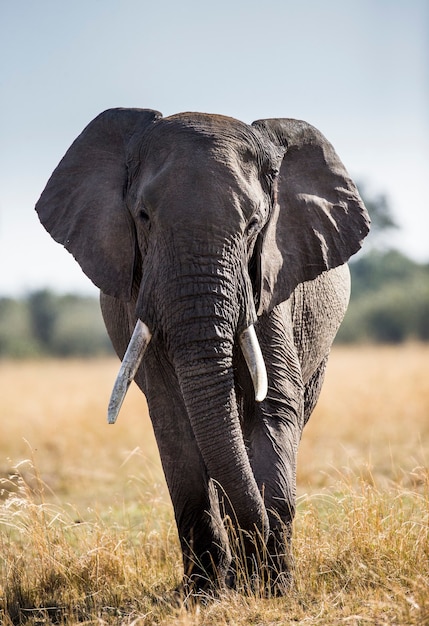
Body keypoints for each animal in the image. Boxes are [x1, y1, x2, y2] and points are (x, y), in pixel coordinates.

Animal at [35, 108, 370, 596]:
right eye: (143, 216)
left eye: (254, 223)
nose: (256, 572)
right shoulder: (143, 295)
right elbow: (174, 417)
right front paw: (206, 595)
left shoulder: (269, 280)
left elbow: (272, 406)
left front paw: (274, 589)